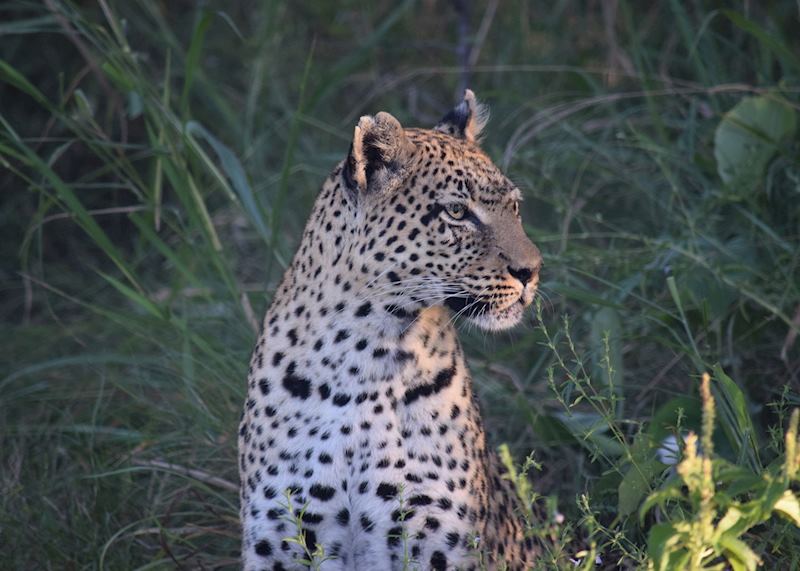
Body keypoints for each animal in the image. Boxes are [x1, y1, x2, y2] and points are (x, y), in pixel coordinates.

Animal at [239, 90, 543, 571]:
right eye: (457, 211)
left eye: (514, 208)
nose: (532, 271)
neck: (365, 355)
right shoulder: (283, 539)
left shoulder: (434, 539)